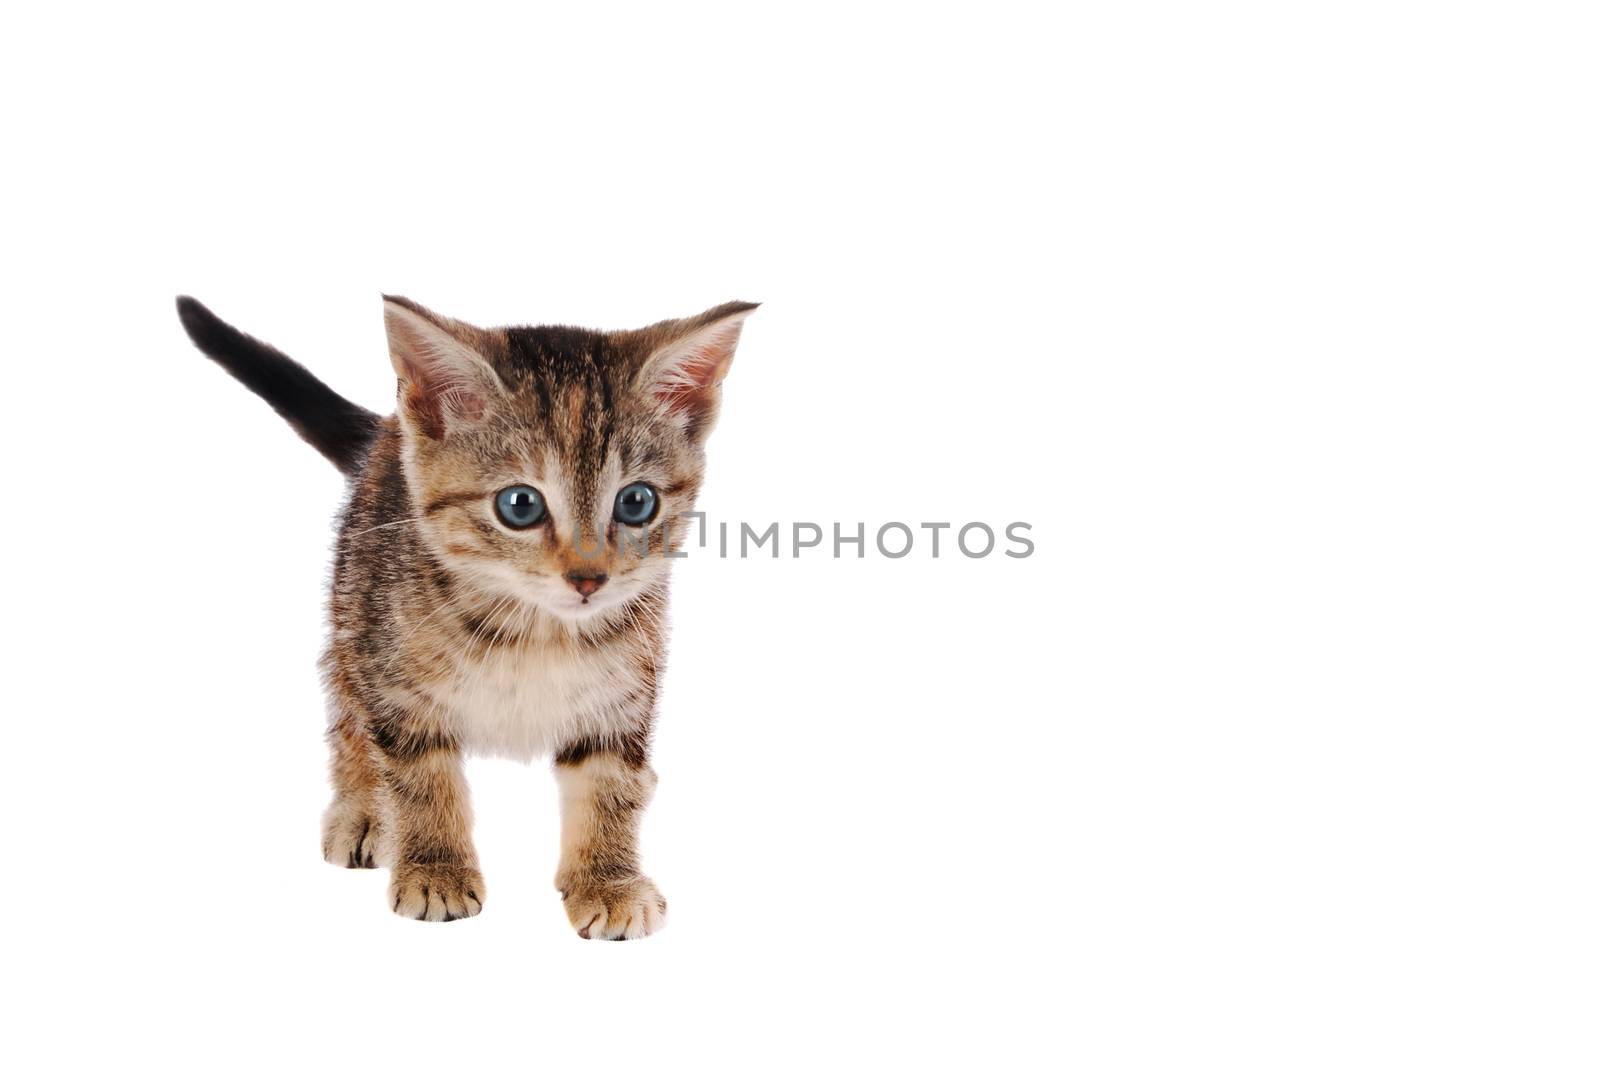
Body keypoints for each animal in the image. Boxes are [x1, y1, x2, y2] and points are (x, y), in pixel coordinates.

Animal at [178, 294, 752, 934]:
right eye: (520, 505)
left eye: (636, 502)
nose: (588, 579)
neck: (536, 629)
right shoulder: (395, 680)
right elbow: (422, 776)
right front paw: (435, 870)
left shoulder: (622, 692)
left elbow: (609, 781)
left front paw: (608, 879)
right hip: (353, 609)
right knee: (347, 710)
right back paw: (362, 808)